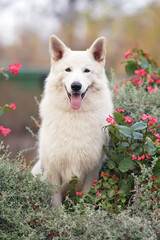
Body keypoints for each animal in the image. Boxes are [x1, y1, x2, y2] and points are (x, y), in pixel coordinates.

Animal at [31, 35, 113, 206]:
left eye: (86, 70)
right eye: (68, 69)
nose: (76, 86)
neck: (75, 115)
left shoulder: (91, 171)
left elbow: (86, 199)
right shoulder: (52, 171)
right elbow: (56, 203)